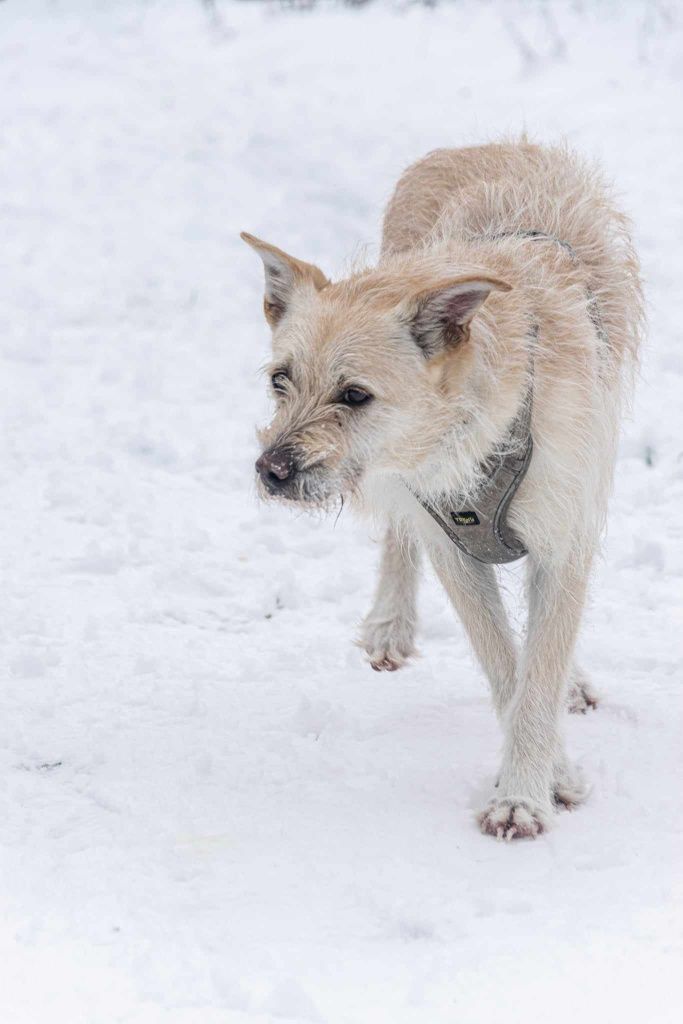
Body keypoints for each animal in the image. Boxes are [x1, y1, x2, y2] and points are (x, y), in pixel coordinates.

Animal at [240, 138, 643, 839]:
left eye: (355, 395)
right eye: (279, 380)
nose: (272, 470)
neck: (473, 431)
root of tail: (486, 143)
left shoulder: (564, 543)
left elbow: (538, 667)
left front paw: (525, 792)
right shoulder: (449, 544)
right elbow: (505, 667)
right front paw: (548, 774)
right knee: (401, 538)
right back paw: (390, 624)